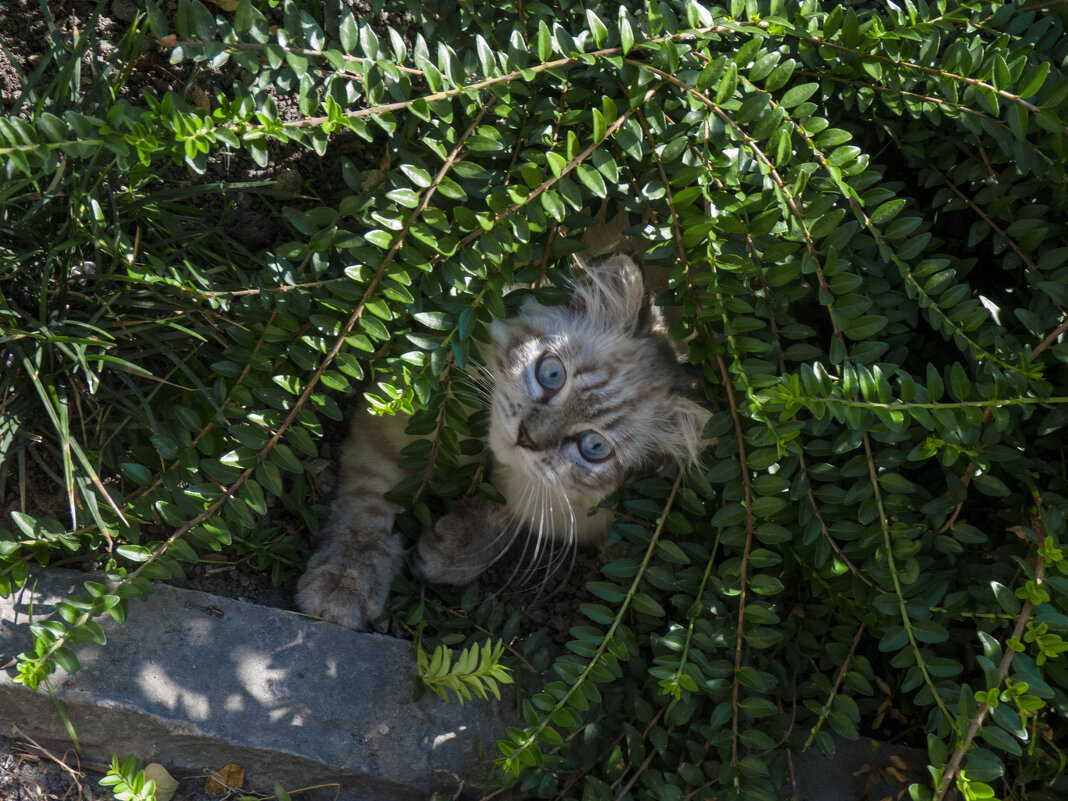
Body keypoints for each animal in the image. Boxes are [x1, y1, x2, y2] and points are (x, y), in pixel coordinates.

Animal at [296, 254, 709, 632]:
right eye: (551, 373)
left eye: (593, 447)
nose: (528, 437)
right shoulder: (397, 423)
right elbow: (368, 510)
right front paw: (345, 582)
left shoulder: (570, 506)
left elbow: (512, 504)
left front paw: (455, 548)